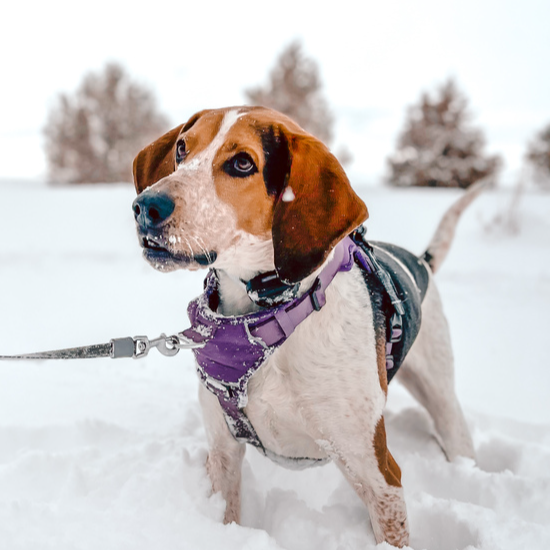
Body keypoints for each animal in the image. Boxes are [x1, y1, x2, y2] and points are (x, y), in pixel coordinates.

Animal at [132, 105, 476, 548]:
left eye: (242, 163)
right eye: (180, 148)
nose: (146, 206)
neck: (267, 322)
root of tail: (421, 260)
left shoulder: (379, 476)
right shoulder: (223, 452)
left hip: (442, 396)